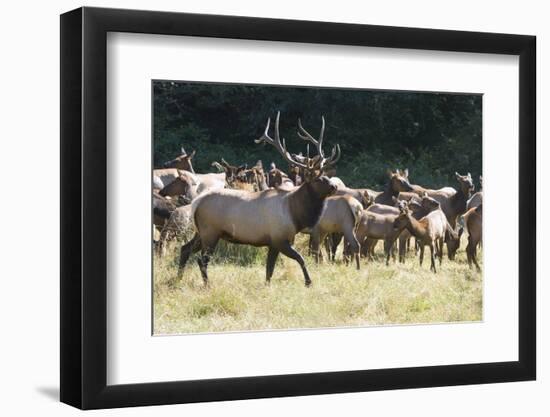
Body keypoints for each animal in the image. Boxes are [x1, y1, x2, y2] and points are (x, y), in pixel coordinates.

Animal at [178, 110, 340, 286]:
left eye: (325, 175)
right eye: (317, 179)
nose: (335, 186)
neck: (296, 215)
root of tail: (196, 203)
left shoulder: (273, 243)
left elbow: (269, 269)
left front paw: (268, 286)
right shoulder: (279, 239)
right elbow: (300, 259)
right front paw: (308, 282)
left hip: (201, 232)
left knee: (184, 249)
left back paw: (177, 278)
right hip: (210, 232)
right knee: (202, 260)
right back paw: (207, 285)